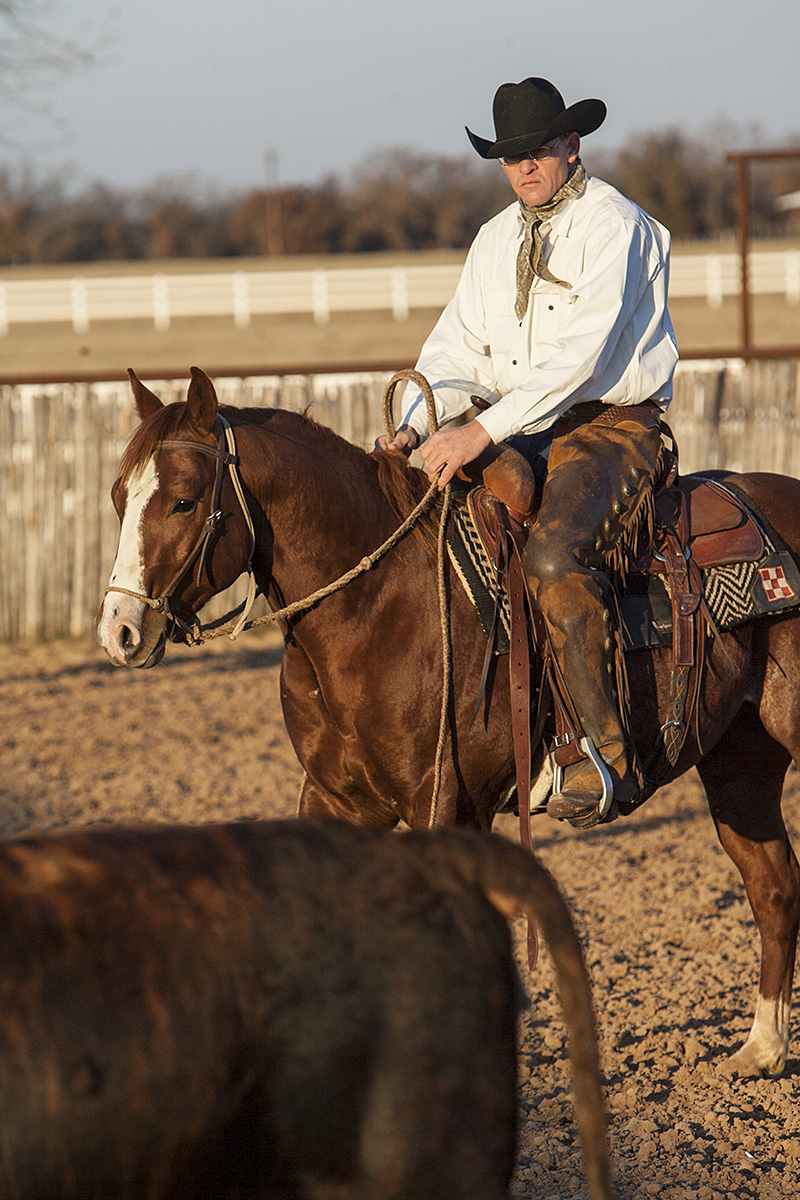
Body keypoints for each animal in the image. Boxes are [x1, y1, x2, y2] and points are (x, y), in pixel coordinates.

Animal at [96, 367, 800, 1079]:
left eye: (184, 501)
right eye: (119, 496)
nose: (120, 631)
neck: (377, 606)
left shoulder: (448, 804)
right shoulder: (336, 800)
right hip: (740, 762)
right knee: (774, 886)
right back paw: (761, 1048)